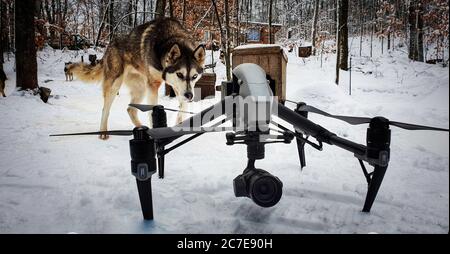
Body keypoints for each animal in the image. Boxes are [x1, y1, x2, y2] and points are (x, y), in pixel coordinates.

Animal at [66, 18, 206, 139]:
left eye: (194, 76)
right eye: (180, 74)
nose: (189, 95)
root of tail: (109, 45)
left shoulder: (177, 87)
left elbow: (183, 108)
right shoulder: (153, 85)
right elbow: (152, 112)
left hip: (141, 89)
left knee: (130, 109)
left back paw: (141, 129)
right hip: (115, 85)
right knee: (105, 109)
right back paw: (103, 132)